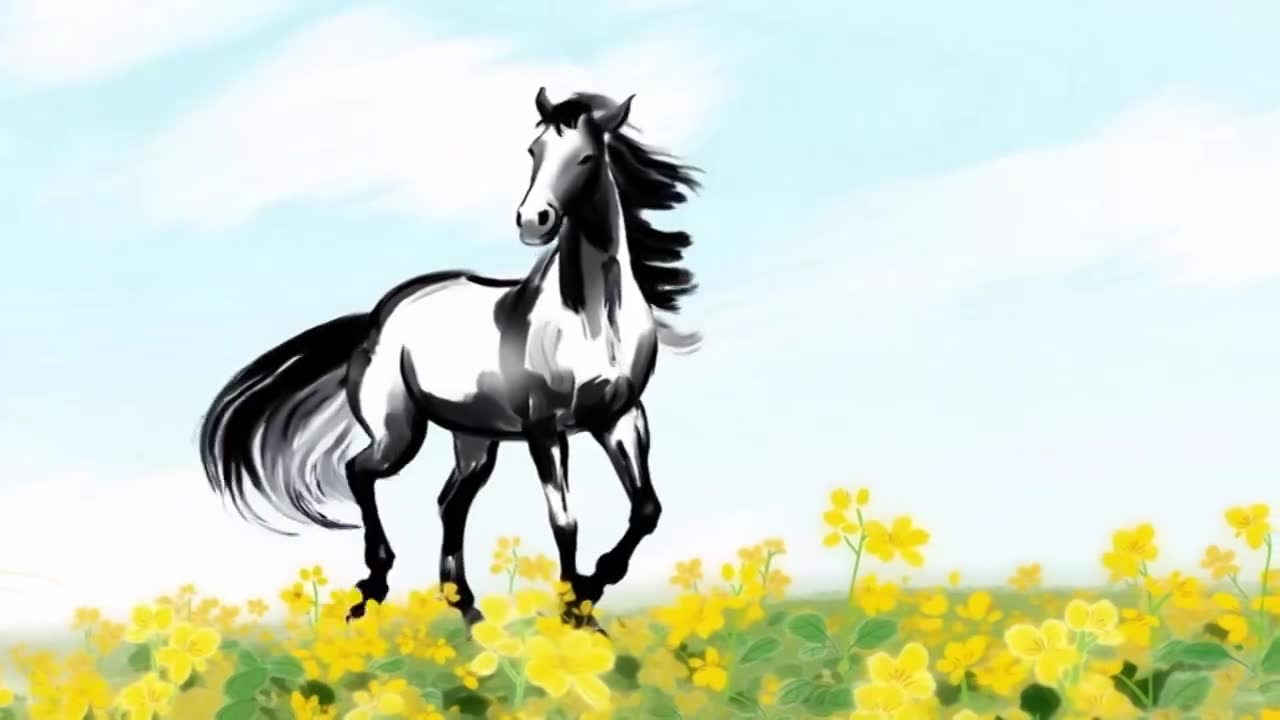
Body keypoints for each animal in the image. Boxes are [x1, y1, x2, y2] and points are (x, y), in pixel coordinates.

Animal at [198, 87, 703, 629]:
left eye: (586, 157)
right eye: (533, 150)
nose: (534, 220)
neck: (591, 317)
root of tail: (377, 316)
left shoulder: (621, 417)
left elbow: (646, 509)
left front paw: (592, 588)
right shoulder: (544, 429)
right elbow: (564, 520)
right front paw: (576, 614)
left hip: (475, 438)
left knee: (449, 502)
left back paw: (466, 608)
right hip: (400, 433)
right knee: (360, 471)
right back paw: (371, 591)